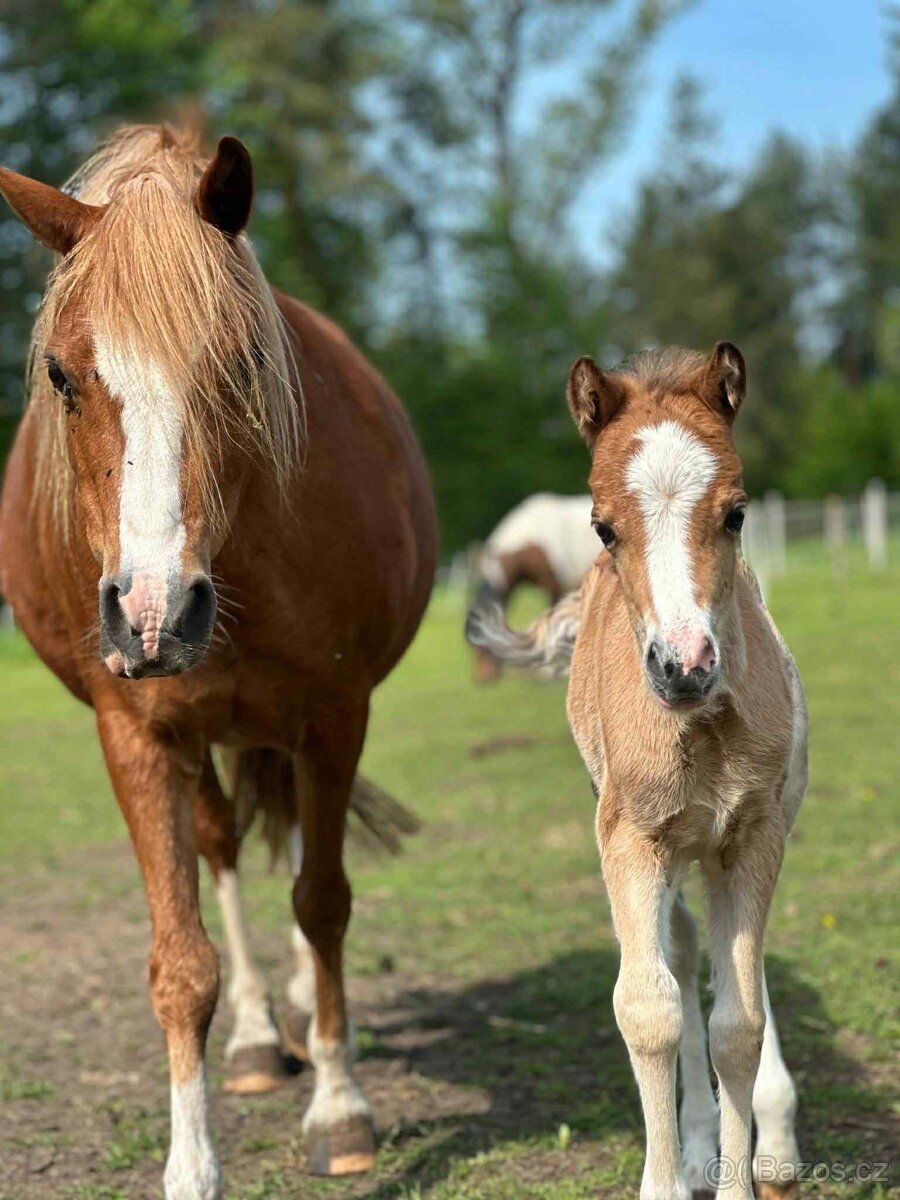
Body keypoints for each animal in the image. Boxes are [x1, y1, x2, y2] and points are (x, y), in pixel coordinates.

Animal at [0, 124, 437, 1199]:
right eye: (63, 376)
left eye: (239, 363)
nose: (155, 616)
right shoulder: (138, 736)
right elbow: (181, 961)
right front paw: (193, 1165)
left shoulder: (334, 716)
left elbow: (323, 904)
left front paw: (341, 1109)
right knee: (225, 850)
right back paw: (252, 1038)